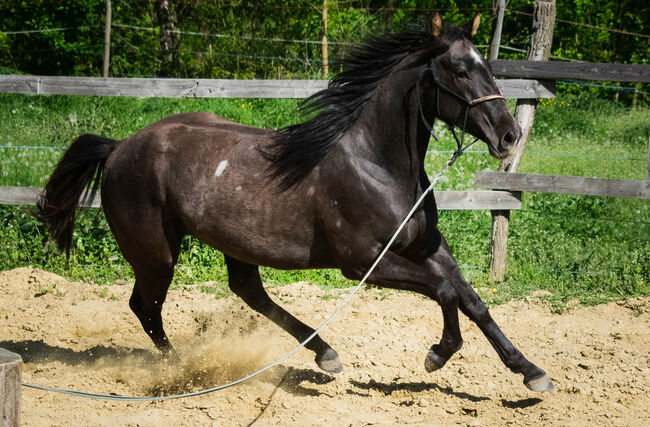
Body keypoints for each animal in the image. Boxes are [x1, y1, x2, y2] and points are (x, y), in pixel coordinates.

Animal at [36, 13, 553, 392]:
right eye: (460, 70)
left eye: (489, 66)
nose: (509, 136)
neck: (377, 163)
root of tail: (118, 147)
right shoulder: (363, 262)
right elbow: (446, 292)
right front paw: (436, 355)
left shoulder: (425, 247)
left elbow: (473, 299)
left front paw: (531, 372)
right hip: (156, 252)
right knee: (145, 307)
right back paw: (181, 368)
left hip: (232, 244)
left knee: (246, 291)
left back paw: (325, 353)